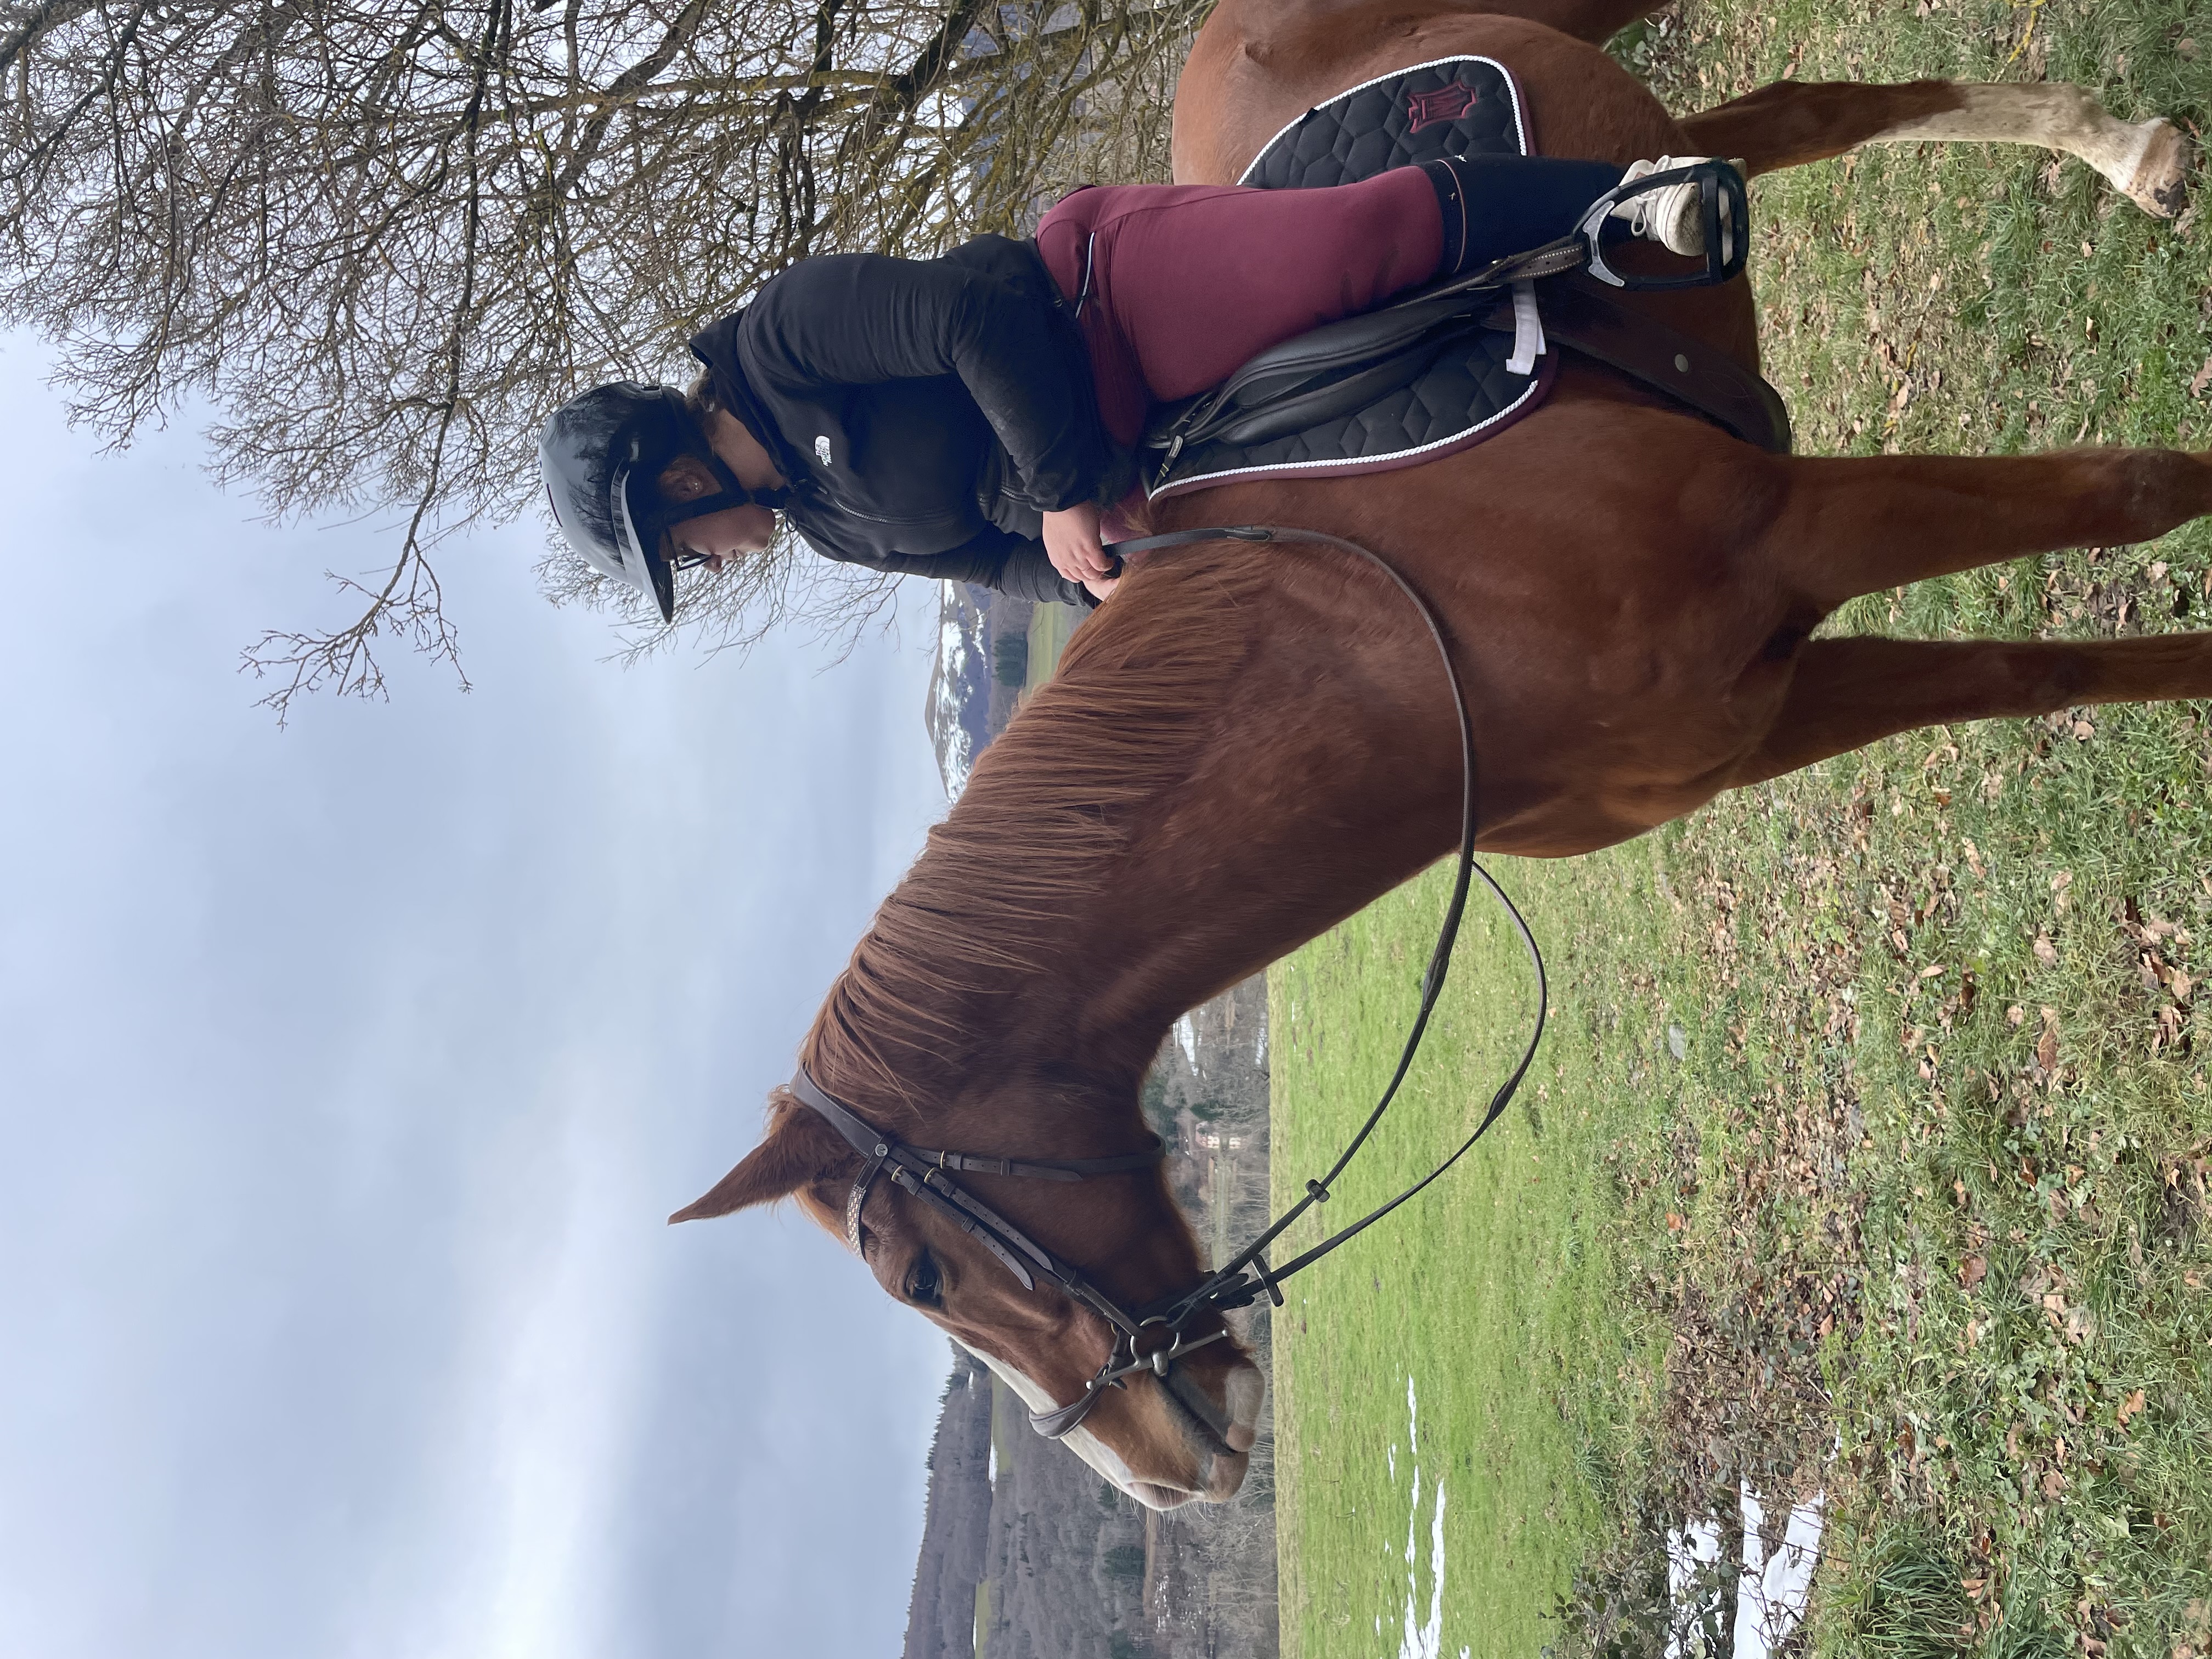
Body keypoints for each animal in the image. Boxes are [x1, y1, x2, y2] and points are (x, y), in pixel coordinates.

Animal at [672, 0, 2206, 1511]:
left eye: (924, 1276)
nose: (1162, 1480)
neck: (1400, 638)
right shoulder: (1759, 715)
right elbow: (2038, 674)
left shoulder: (1800, 532)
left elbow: (2141, 493)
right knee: (1795, 119)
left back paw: (2108, 151)